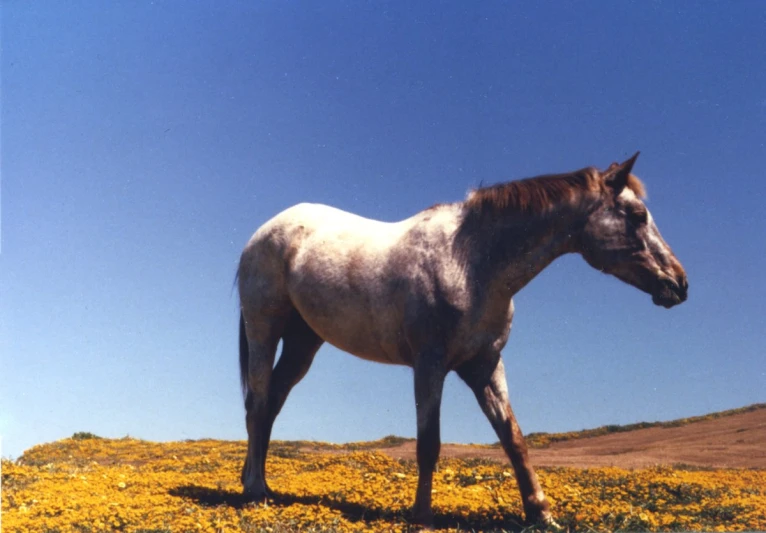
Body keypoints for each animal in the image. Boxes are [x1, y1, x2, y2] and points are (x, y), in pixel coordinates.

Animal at [236, 153, 688, 528]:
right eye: (637, 214)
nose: (679, 284)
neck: (471, 263)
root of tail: (261, 234)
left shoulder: (485, 365)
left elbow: (514, 439)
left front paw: (541, 514)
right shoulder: (429, 365)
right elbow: (429, 443)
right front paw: (421, 516)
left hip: (303, 343)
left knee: (272, 402)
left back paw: (257, 483)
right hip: (265, 328)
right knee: (257, 403)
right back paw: (256, 491)